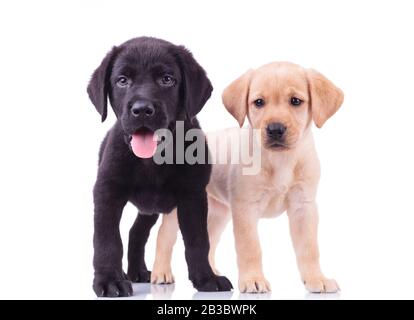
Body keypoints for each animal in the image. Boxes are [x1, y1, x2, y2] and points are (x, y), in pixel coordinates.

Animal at [87, 37, 233, 298]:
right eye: (122, 80)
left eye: (167, 79)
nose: (142, 110)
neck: (153, 159)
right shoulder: (106, 192)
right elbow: (107, 239)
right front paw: (109, 280)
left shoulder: (193, 196)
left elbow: (198, 240)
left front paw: (206, 278)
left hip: (151, 209)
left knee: (136, 232)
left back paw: (138, 271)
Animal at [150, 62, 344, 292]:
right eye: (258, 102)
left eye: (296, 101)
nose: (275, 129)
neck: (280, 160)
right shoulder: (245, 208)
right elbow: (250, 247)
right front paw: (253, 279)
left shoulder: (303, 206)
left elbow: (309, 248)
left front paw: (316, 278)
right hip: (180, 210)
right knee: (164, 236)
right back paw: (161, 273)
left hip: (219, 212)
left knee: (210, 240)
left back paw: (213, 274)